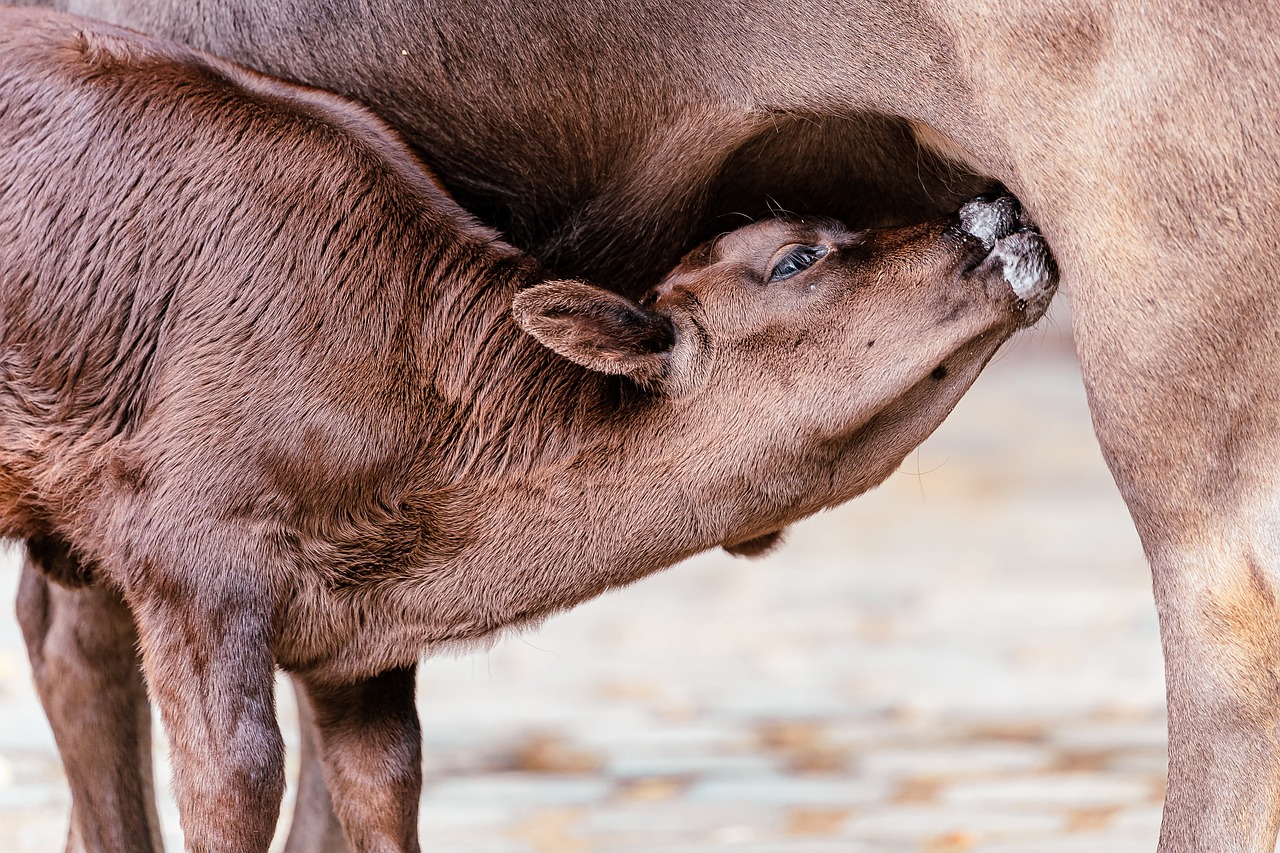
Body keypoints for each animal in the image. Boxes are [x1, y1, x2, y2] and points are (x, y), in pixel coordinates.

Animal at [10, 0, 1280, 845]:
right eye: (793, 254)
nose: (991, 212)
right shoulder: (191, 569)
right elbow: (230, 779)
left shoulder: (351, 648)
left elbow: (375, 787)